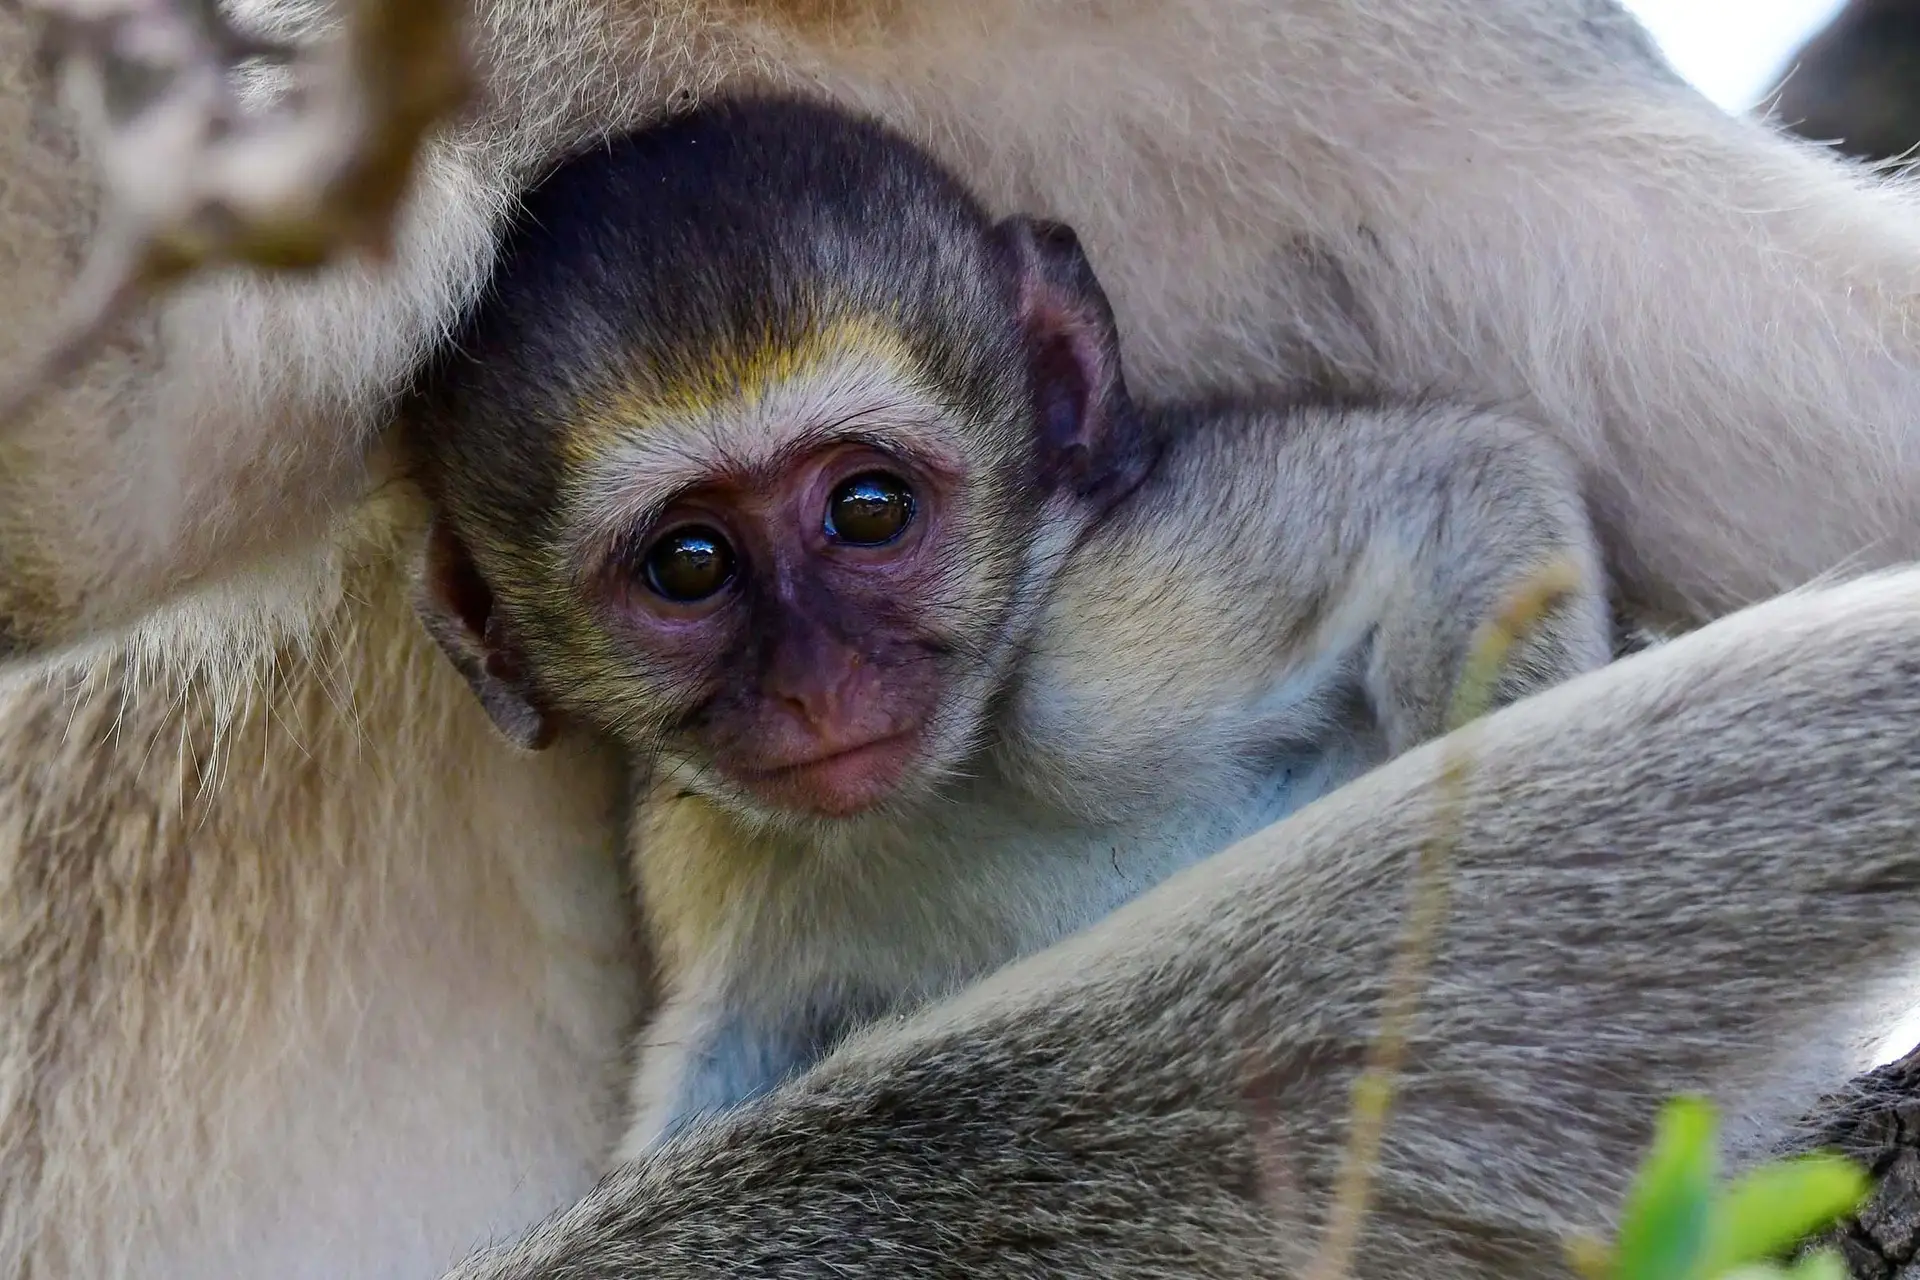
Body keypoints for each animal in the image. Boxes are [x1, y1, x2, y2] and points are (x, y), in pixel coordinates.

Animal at [401, 94, 1605, 1159]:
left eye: (868, 508)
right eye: (688, 565)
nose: (814, 683)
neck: (952, 780)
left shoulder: (1102, 660)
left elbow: (1466, 480)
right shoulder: (711, 860)